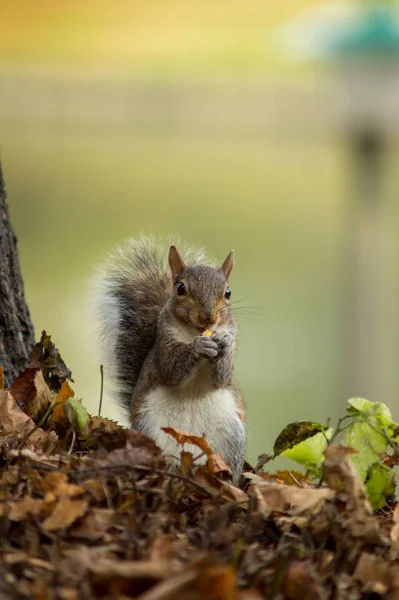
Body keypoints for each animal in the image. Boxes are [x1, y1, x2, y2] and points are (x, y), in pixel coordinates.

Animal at [96, 236, 247, 482]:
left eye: (228, 292)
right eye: (181, 288)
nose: (208, 316)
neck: (195, 331)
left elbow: (222, 378)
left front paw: (223, 343)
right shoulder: (164, 344)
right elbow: (172, 369)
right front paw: (197, 347)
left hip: (230, 436)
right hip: (151, 429)